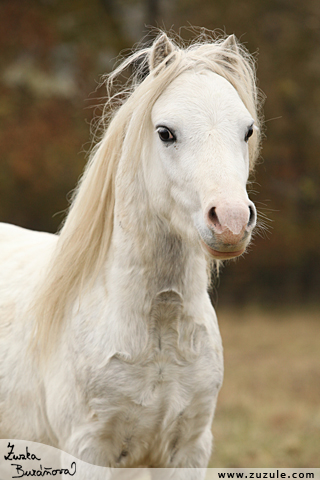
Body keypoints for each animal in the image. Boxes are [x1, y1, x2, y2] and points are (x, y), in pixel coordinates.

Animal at [0, 31, 262, 478]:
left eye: (247, 130)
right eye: (165, 132)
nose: (230, 221)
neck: (158, 334)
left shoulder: (188, 453)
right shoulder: (88, 452)